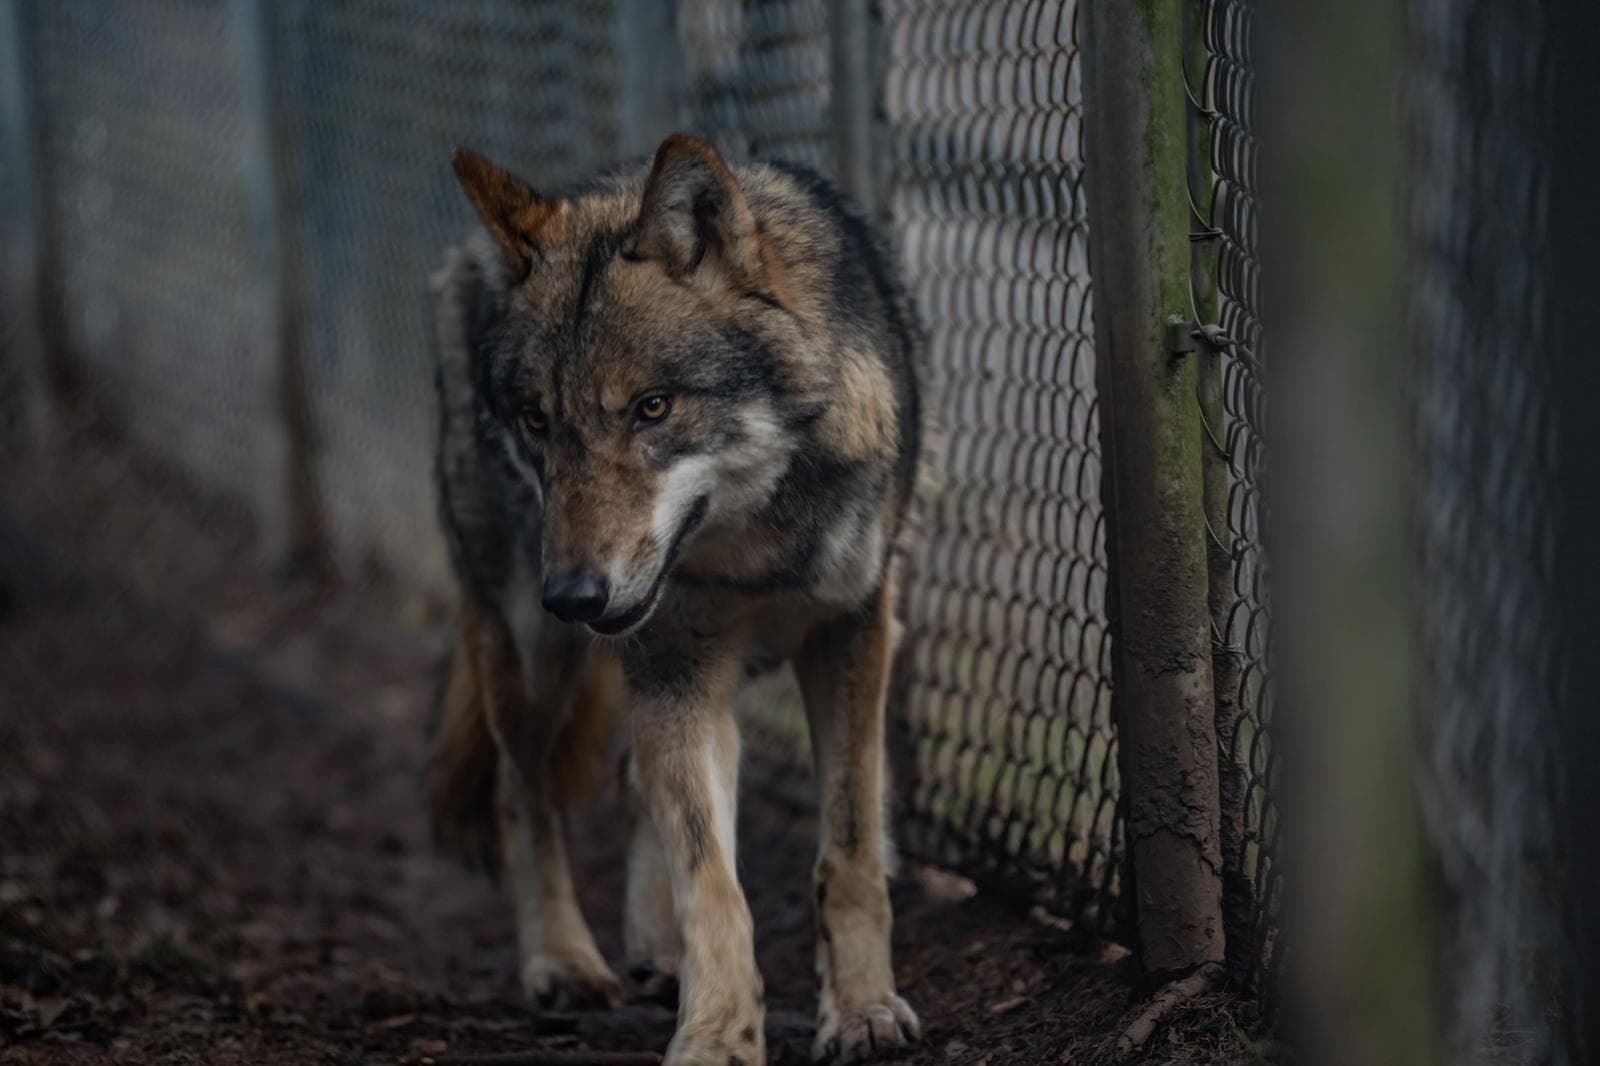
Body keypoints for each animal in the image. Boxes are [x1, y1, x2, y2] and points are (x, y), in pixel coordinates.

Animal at [425, 132, 923, 1066]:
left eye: (652, 408)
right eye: (539, 422)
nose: (573, 594)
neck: (752, 548)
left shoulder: (853, 629)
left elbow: (850, 850)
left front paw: (864, 1011)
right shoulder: (675, 667)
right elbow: (714, 887)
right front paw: (718, 1035)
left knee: (629, 782)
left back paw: (654, 950)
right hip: (530, 656)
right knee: (524, 795)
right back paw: (563, 961)